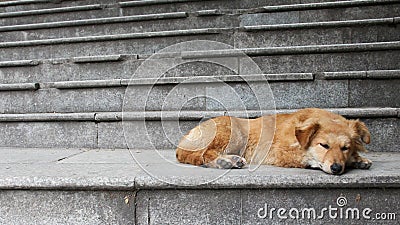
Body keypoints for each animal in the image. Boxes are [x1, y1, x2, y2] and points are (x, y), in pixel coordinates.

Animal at [175, 108, 372, 175]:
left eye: (345, 147)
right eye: (324, 145)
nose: (337, 168)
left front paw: (358, 158)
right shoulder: (277, 151)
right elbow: (305, 157)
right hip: (231, 131)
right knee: (205, 154)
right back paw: (226, 161)